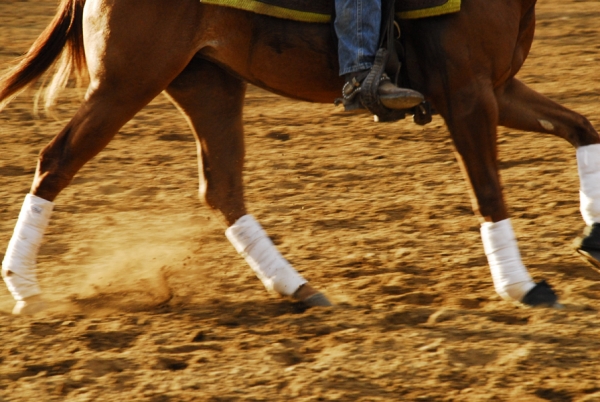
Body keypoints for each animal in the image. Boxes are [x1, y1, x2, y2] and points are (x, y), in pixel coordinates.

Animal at [1, 0, 600, 312]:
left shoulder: (498, 90)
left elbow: (580, 127)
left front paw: (592, 238)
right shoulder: (468, 95)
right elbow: (489, 192)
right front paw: (521, 285)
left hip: (207, 83)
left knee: (222, 187)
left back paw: (296, 287)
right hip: (127, 82)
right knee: (55, 160)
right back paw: (25, 288)